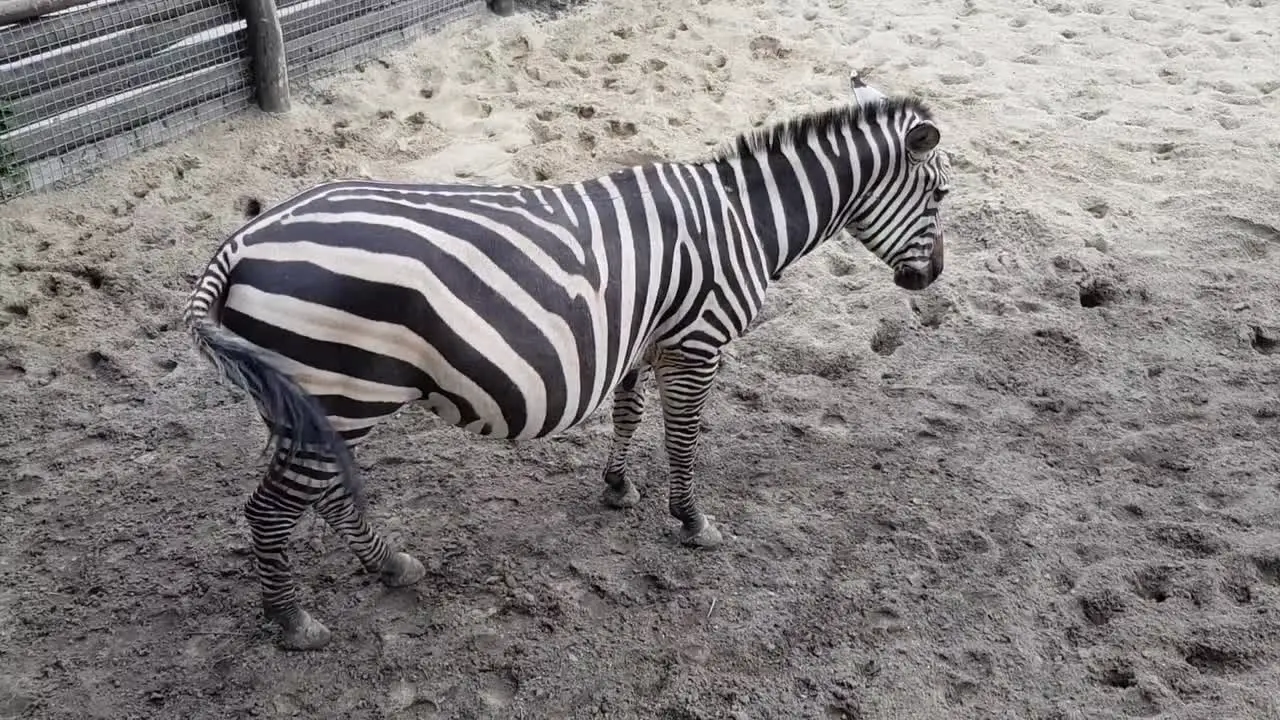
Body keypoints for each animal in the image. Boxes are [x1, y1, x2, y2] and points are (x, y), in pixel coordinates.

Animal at [186, 70, 952, 648]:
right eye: (941, 194)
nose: (930, 279)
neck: (743, 221)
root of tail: (241, 243)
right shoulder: (697, 340)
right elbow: (683, 437)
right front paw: (691, 520)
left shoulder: (645, 335)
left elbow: (629, 412)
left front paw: (617, 488)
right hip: (343, 391)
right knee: (271, 509)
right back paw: (293, 623)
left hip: (316, 404)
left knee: (327, 494)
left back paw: (393, 566)